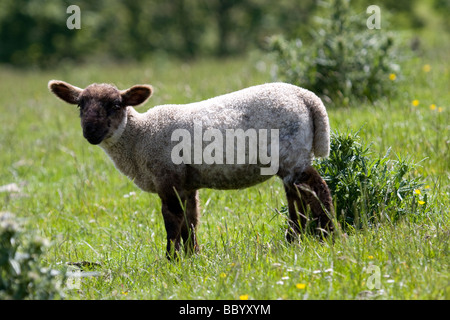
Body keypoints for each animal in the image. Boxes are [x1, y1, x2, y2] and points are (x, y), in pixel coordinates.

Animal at [48, 80, 334, 260]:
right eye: (80, 105)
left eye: (115, 105)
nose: (90, 132)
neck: (139, 138)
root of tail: (309, 99)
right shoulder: (186, 184)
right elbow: (191, 220)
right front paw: (192, 255)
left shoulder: (166, 175)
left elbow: (172, 220)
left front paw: (171, 260)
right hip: (291, 159)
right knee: (297, 198)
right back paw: (297, 238)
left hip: (291, 154)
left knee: (317, 190)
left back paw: (326, 235)